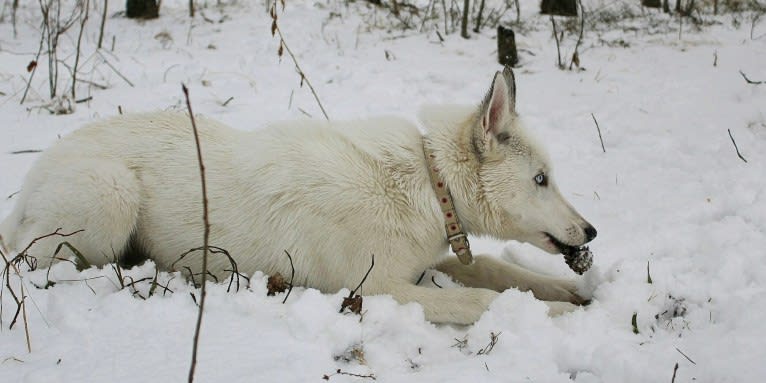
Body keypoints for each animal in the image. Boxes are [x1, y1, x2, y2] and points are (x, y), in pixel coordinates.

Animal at [0, 67, 596, 324]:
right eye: (541, 179)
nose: (592, 231)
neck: (429, 183)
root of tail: (29, 183)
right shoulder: (375, 287)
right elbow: (481, 300)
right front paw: (545, 314)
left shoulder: (430, 261)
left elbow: (499, 270)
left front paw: (567, 291)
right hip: (112, 196)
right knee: (30, 260)